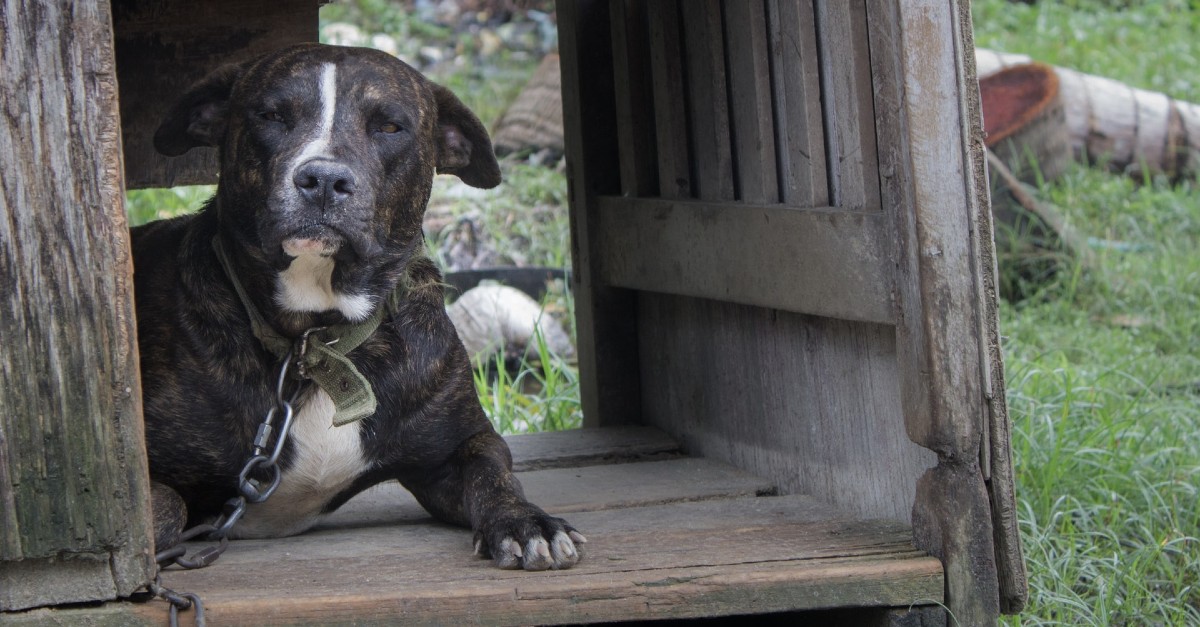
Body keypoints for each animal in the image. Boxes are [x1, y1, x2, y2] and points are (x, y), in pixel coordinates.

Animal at [131, 43, 580, 569]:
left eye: (390, 126)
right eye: (271, 115)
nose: (323, 178)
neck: (318, 339)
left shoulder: (457, 447)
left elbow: (495, 473)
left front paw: (526, 523)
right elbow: (165, 506)